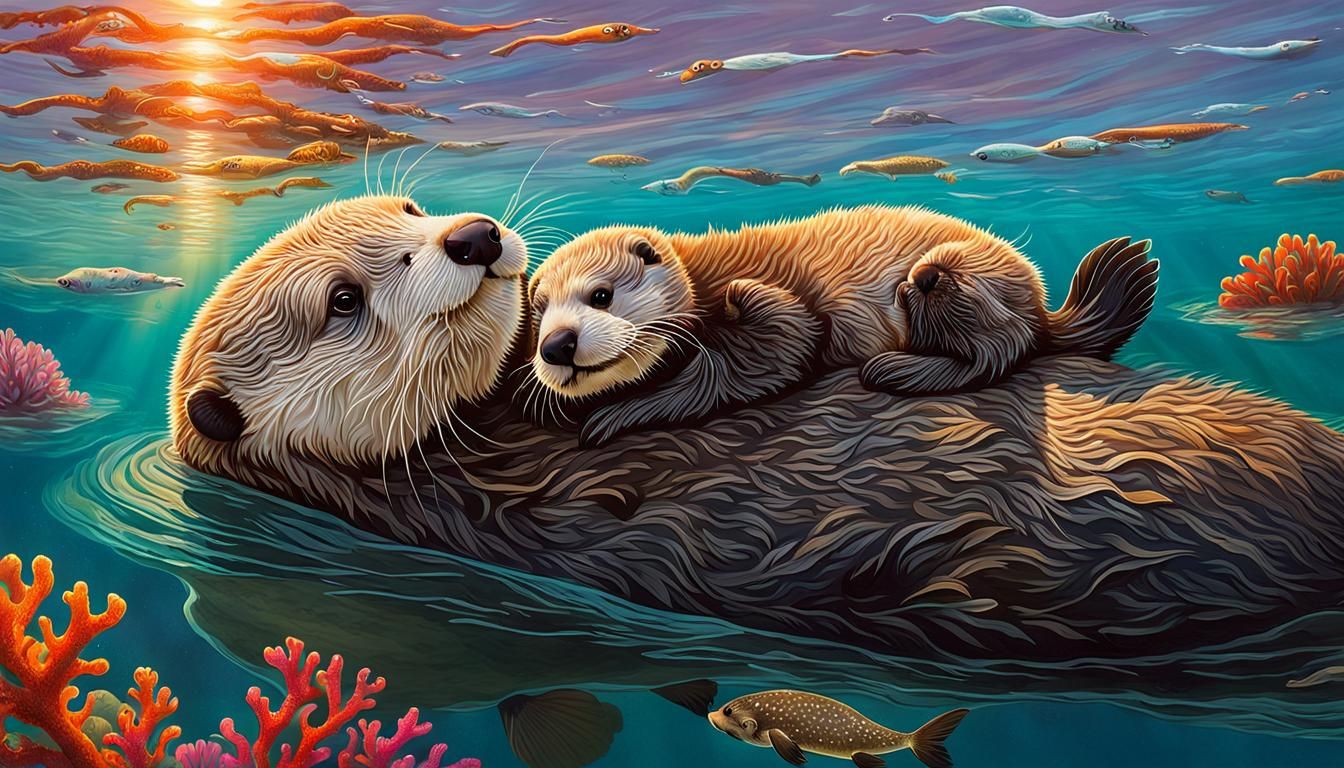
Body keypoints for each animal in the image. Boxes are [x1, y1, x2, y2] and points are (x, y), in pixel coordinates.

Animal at [525, 206, 1158, 446]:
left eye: (601, 295)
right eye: (539, 312)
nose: (557, 345)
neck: (703, 277)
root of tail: (1041, 300)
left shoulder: (767, 313)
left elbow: (770, 355)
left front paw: (611, 419)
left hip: (947, 276)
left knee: (1003, 348)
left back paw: (894, 367)